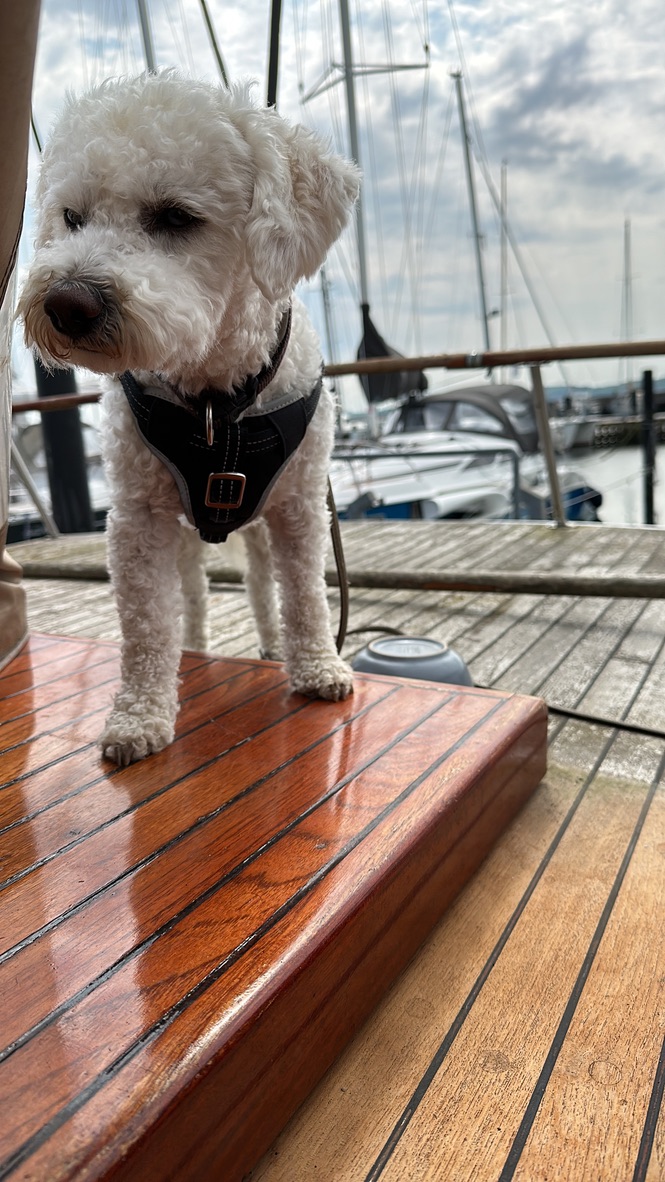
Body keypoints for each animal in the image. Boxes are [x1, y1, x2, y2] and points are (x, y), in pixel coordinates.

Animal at [19, 71, 360, 766]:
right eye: (72, 218)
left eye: (177, 217)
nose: (66, 302)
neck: (214, 401)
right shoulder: (138, 520)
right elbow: (147, 625)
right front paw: (138, 715)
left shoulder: (301, 507)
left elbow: (306, 595)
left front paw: (318, 667)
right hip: (182, 536)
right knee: (195, 596)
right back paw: (198, 647)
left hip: (263, 523)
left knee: (263, 587)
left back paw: (276, 646)